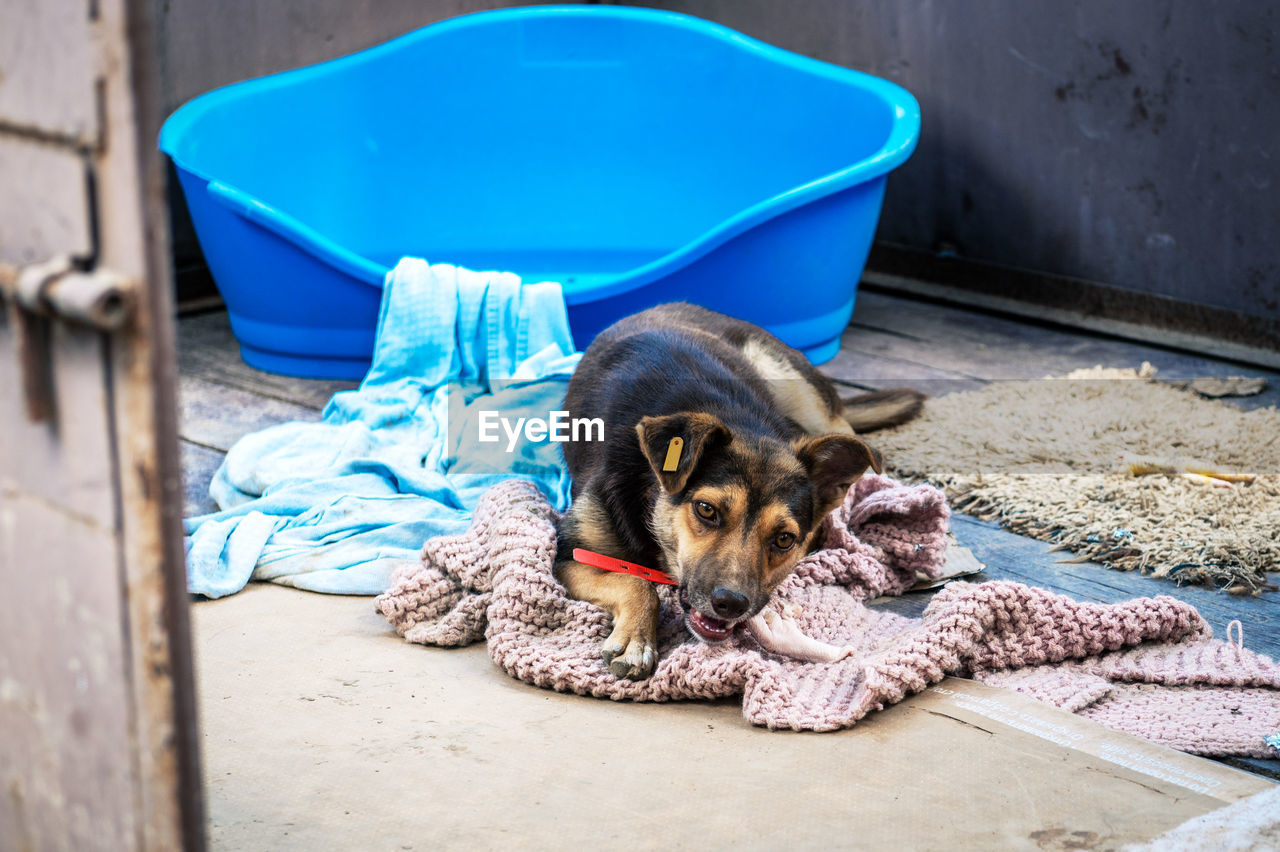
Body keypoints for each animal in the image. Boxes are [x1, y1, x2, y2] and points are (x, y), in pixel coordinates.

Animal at [550, 300, 921, 675]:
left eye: (784, 539)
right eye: (706, 510)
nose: (730, 604)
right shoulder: (571, 555)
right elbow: (636, 582)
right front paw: (637, 639)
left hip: (799, 391)